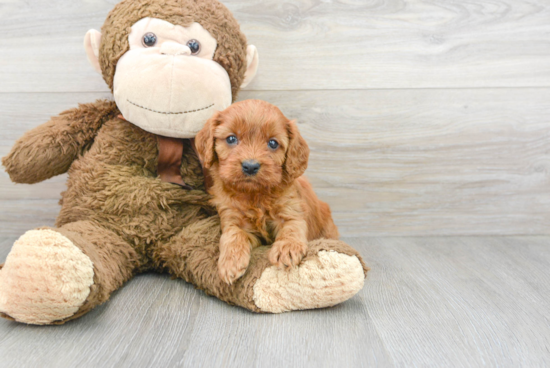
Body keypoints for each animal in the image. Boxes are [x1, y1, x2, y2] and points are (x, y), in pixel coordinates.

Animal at [194, 99, 340, 284]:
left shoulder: (291, 212)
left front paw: (286, 249)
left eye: (273, 143)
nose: (250, 166)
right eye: (231, 139)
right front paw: (230, 262)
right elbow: (233, 235)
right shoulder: (233, 219)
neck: (255, 194)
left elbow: (292, 229)